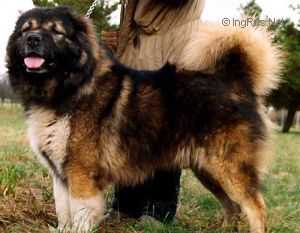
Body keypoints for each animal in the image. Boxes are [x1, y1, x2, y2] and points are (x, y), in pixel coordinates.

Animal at [7, 6, 282, 232]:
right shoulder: (61, 174)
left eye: (57, 32)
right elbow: (64, 213)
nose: (33, 39)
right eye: (25, 30)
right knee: (232, 207)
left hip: (229, 168)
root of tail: (237, 81)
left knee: (256, 207)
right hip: (208, 170)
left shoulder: (81, 173)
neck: (70, 87)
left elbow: (80, 216)